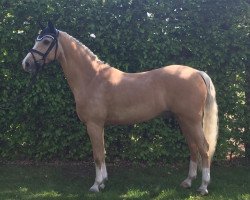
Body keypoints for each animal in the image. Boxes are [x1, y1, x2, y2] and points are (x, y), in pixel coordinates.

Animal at [21, 21, 218, 195]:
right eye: (37, 39)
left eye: (46, 41)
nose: (26, 63)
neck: (92, 79)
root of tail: (197, 73)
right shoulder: (99, 125)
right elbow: (102, 153)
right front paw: (103, 182)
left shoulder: (93, 125)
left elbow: (97, 155)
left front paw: (96, 185)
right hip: (184, 120)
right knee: (193, 147)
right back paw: (188, 181)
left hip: (191, 121)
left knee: (204, 148)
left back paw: (203, 187)